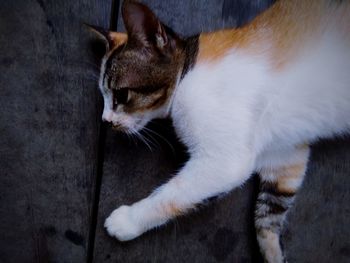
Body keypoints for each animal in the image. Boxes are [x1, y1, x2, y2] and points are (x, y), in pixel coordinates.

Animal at [89, 0, 350, 263]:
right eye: (103, 95)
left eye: (121, 94)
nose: (105, 121)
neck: (187, 73)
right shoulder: (284, 154)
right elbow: (270, 209)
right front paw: (273, 255)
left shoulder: (226, 161)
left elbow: (173, 195)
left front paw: (128, 221)